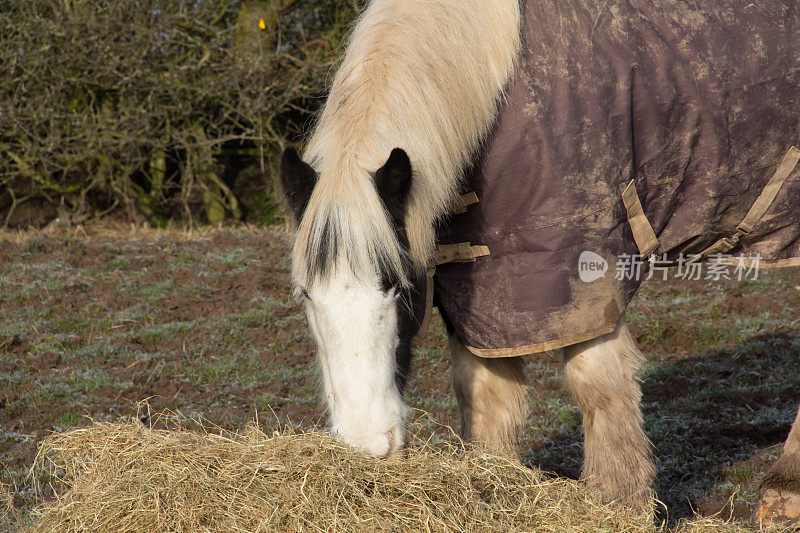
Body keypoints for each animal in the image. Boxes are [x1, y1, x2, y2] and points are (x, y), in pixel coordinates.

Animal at [278, 0, 800, 516]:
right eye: (306, 295)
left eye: (398, 285)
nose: (368, 448)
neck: (494, 86)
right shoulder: (481, 291)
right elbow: (486, 395)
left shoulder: (582, 277)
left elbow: (599, 386)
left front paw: (618, 506)